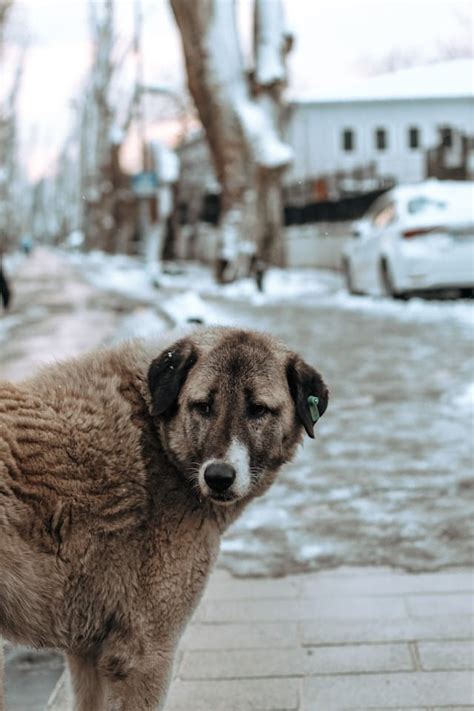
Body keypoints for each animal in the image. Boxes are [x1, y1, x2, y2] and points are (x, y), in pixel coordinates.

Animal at [0, 328, 328, 711]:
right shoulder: (146, 654)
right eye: (203, 406)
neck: (157, 437)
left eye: (258, 409)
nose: (218, 477)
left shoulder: (87, 653)